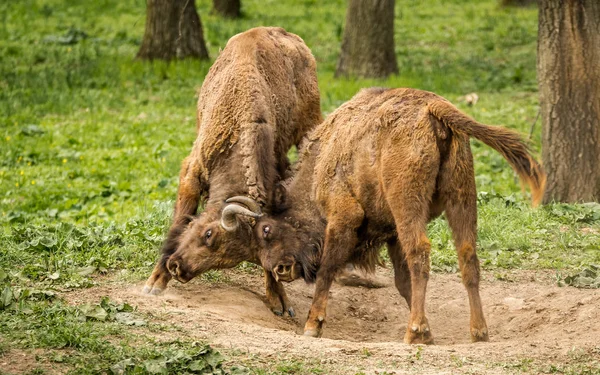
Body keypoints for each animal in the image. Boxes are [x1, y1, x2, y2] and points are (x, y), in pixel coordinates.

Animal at [142, 26, 324, 318]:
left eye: (227, 259)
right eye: (208, 234)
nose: (178, 268)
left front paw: (279, 301)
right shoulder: (192, 172)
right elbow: (179, 223)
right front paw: (155, 283)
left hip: (309, 123)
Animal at [246, 87, 548, 344]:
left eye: (266, 229)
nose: (279, 269)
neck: (320, 164)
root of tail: (433, 107)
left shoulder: (344, 217)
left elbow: (328, 269)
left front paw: (312, 326)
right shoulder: (392, 232)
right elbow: (402, 282)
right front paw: (429, 332)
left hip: (407, 202)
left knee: (420, 253)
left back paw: (413, 332)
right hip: (461, 196)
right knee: (467, 256)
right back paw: (478, 332)